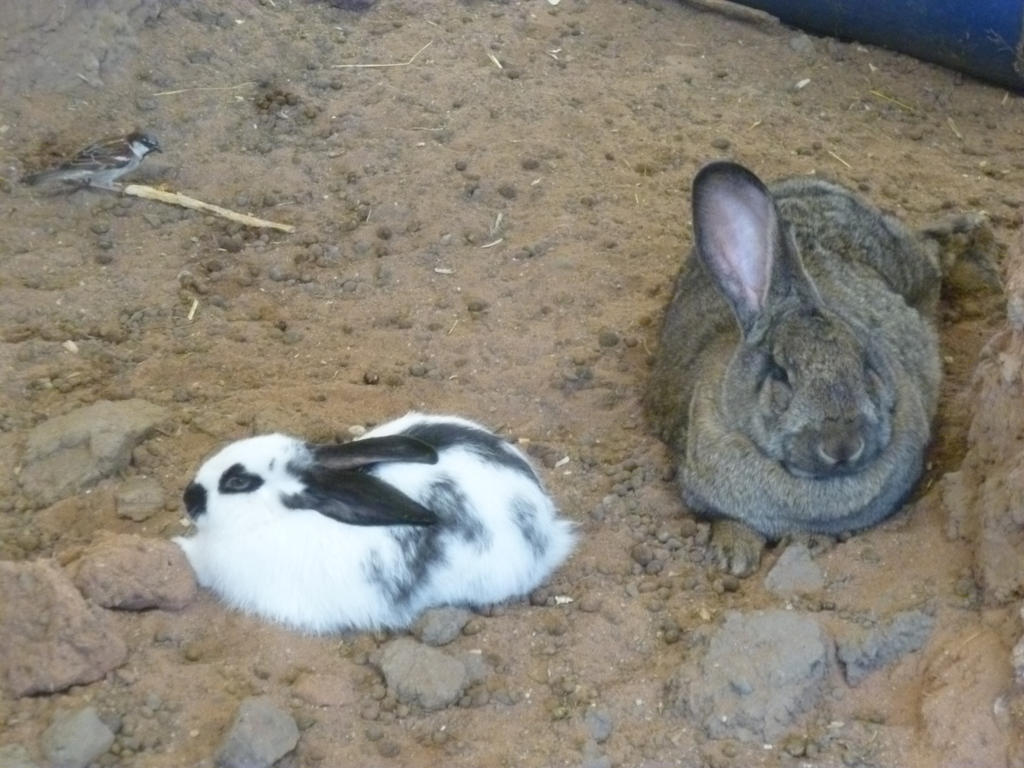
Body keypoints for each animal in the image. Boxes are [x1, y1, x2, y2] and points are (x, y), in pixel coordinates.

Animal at [644, 161, 943, 576]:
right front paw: (735, 556)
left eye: (866, 362)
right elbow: (727, 519)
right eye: (781, 374)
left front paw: (806, 542)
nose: (842, 446)